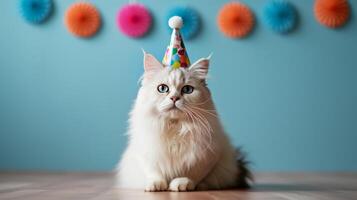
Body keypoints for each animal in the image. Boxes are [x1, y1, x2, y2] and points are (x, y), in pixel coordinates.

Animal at [115, 52, 249, 191]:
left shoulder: (207, 156)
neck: (175, 127)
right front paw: (155, 185)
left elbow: (192, 173)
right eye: (162, 88)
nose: (174, 98)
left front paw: (180, 184)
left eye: (187, 90)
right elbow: (154, 172)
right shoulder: (145, 153)